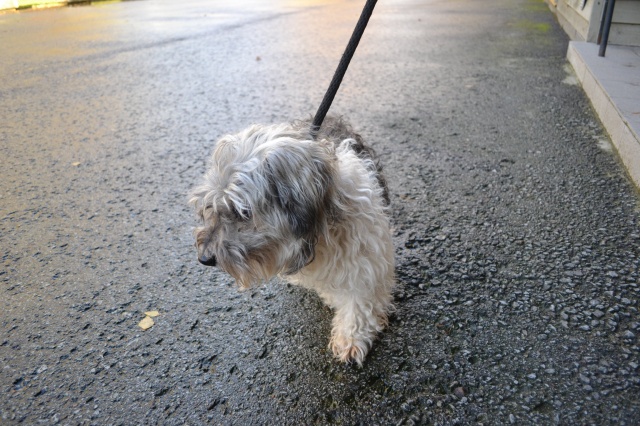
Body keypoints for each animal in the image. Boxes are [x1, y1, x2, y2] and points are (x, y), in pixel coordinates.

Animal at [189, 116, 395, 365]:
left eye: (242, 212)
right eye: (211, 206)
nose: (204, 258)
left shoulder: (364, 260)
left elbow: (359, 302)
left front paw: (351, 338)